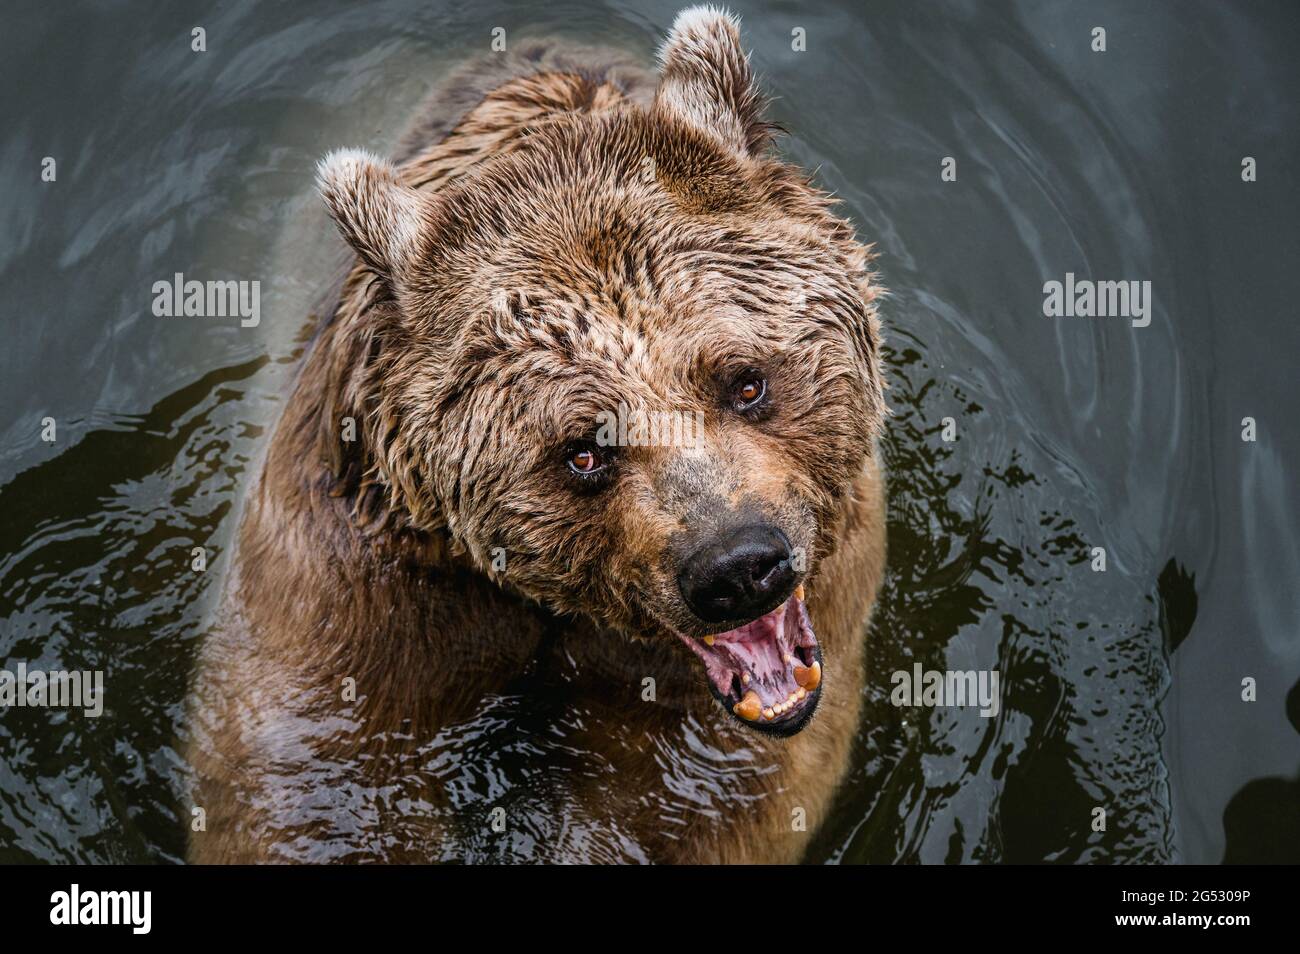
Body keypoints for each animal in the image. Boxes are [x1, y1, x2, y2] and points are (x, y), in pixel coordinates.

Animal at [188, 5, 889, 868]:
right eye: (583, 450)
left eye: (745, 381)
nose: (737, 566)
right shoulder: (361, 561)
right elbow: (308, 763)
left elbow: (709, 790)